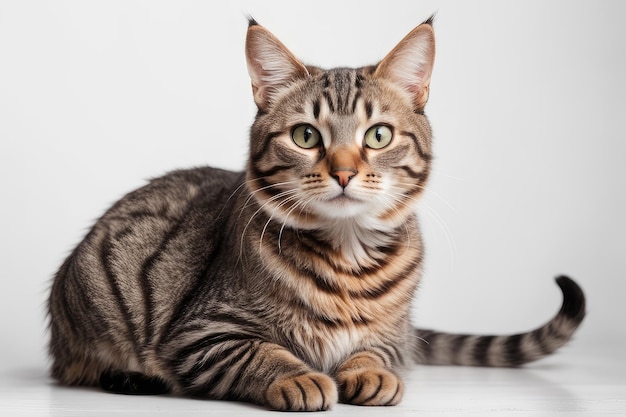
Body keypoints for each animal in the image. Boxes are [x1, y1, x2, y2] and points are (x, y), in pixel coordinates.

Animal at [48, 17, 584, 410]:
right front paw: (299, 377)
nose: (344, 172)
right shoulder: (202, 332)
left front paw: (370, 372)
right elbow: (261, 351)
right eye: (306, 136)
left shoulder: (397, 336)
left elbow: (377, 349)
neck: (348, 258)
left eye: (378, 135)